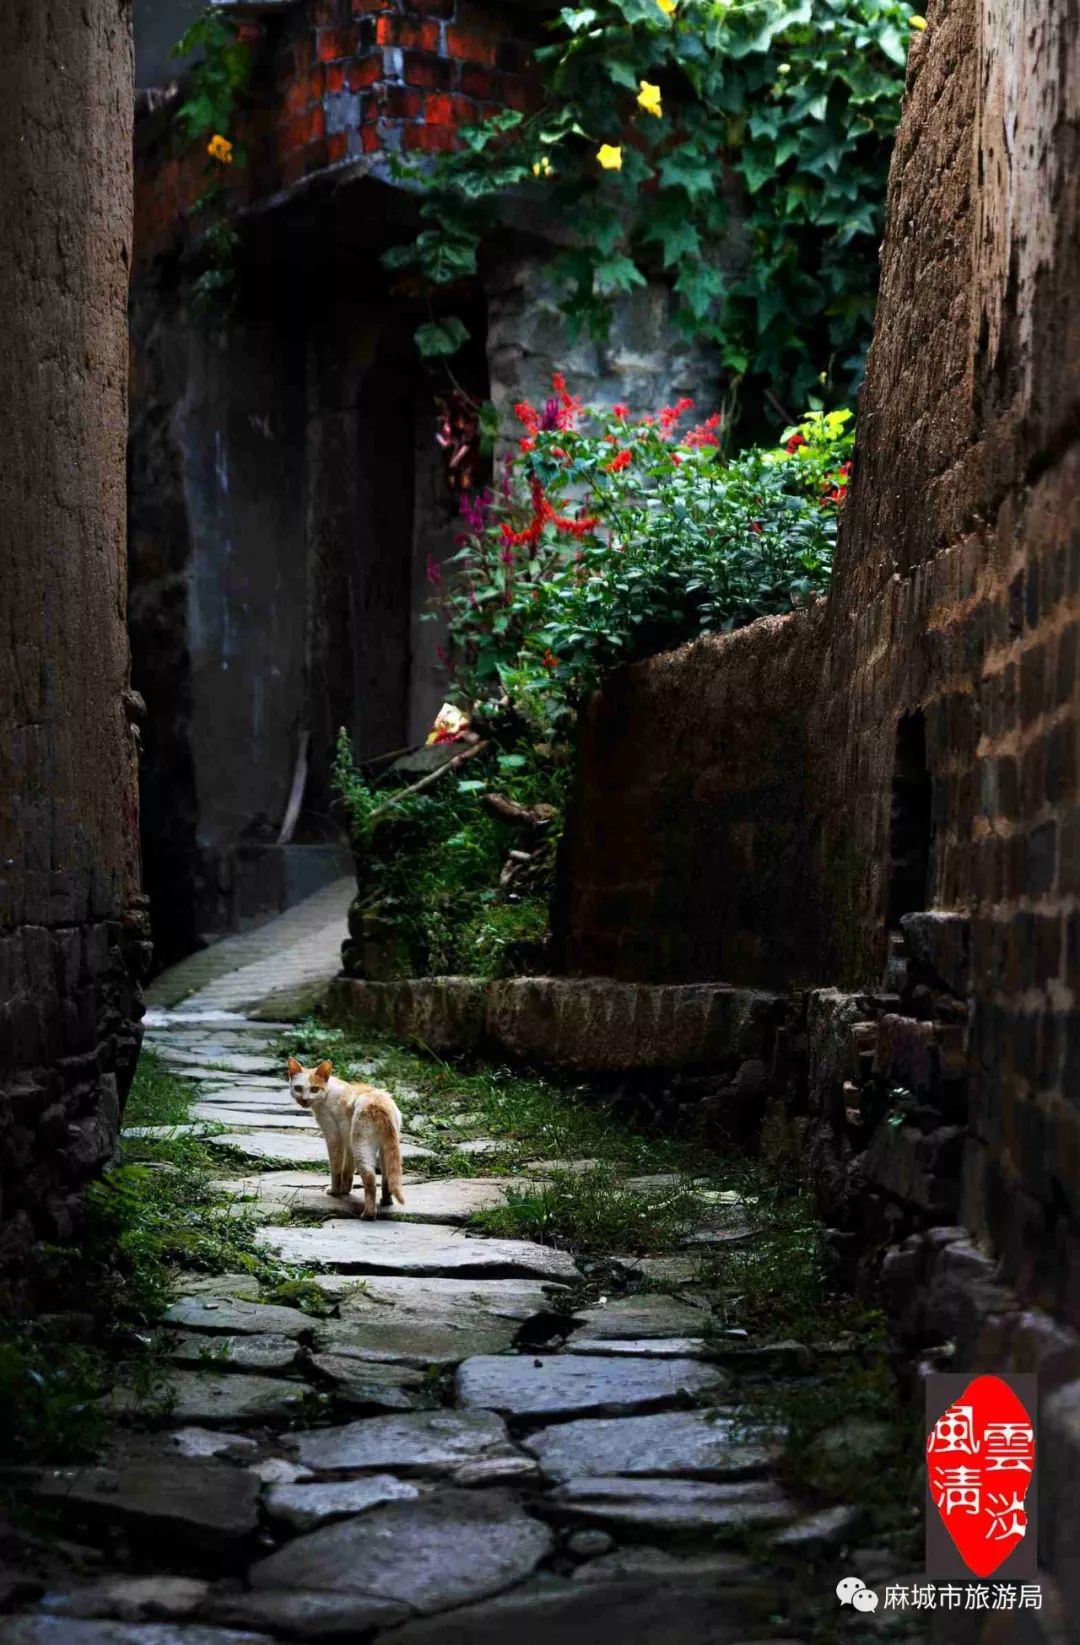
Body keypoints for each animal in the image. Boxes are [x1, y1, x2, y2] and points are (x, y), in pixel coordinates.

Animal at [286, 1059, 404, 1217]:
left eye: (314, 1089)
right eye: (298, 1088)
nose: (304, 1100)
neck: (327, 1092)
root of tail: (379, 1103)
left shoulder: (334, 1137)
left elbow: (336, 1169)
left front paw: (335, 1191)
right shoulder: (348, 1141)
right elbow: (347, 1170)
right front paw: (345, 1190)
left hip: (361, 1145)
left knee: (370, 1178)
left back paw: (368, 1215)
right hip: (382, 1147)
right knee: (387, 1178)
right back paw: (386, 1202)